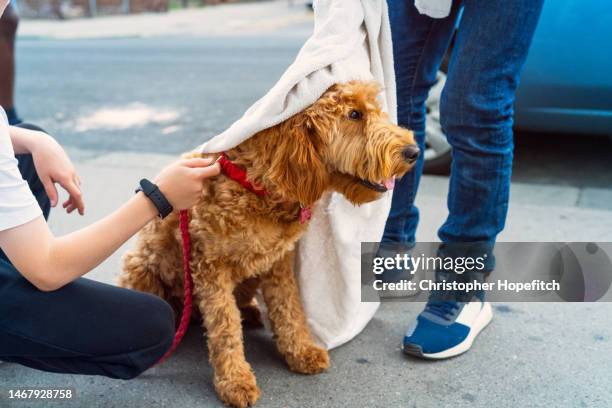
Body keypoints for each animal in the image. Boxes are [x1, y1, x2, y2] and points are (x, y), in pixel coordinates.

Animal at [119, 81, 418, 406]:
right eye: (354, 114)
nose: (414, 151)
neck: (258, 186)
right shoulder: (210, 266)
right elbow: (224, 327)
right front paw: (235, 381)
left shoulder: (277, 261)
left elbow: (289, 307)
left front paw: (301, 351)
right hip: (141, 268)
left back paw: (249, 311)